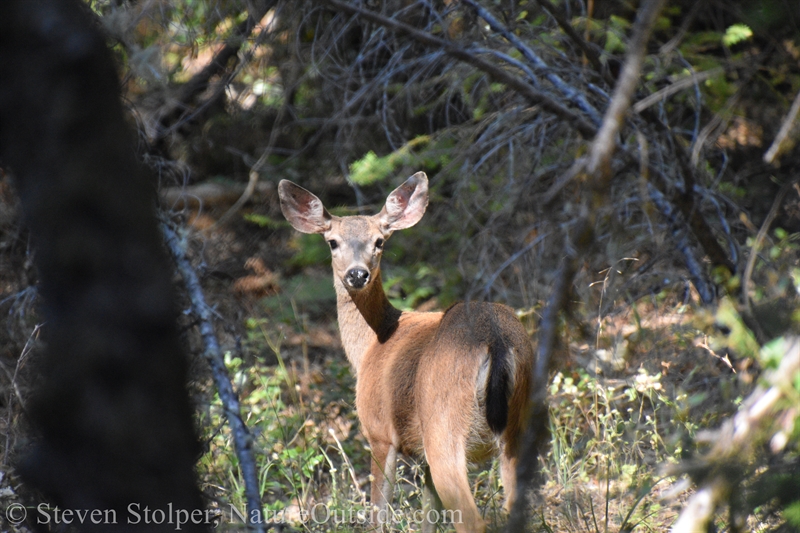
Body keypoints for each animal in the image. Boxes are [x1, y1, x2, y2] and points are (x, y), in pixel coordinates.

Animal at [278, 171, 536, 532]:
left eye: (379, 241)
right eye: (333, 242)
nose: (357, 274)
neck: (372, 344)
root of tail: (496, 340)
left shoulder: (379, 431)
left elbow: (378, 513)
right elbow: (429, 517)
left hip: (444, 429)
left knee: (473, 520)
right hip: (516, 427)